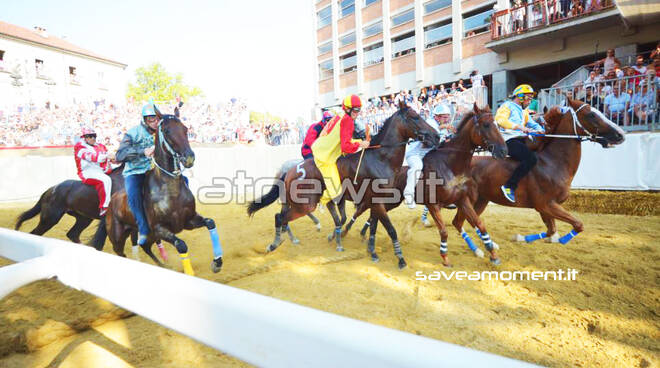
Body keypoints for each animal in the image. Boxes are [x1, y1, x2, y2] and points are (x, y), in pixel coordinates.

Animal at [89, 108, 226, 274]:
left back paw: (164, 265)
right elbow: (181, 245)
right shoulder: (159, 228)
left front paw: (217, 262)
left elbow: (210, 223)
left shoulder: (188, 220)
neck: (169, 190)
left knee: (145, 246)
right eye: (166, 131)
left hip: (145, 235)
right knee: (122, 253)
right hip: (119, 238)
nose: (189, 157)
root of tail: (109, 206)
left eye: (185, 129)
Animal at [248, 100, 444, 268]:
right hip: (306, 204)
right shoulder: (376, 201)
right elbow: (390, 229)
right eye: (415, 116)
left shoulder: (375, 202)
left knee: (282, 216)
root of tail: (289, 171)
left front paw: (372, 251)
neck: (381, 159)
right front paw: (400, 258)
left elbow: (372, 227)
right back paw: (274, 244)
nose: (436, 136)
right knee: (280, 217)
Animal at [342, 105, 508, 266]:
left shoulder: (462, 199)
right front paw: (445, 257)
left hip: (391, 201)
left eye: (496, 124)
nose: (503, 150)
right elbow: (444, 231)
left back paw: (363, 234)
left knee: (373, 214)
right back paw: (347, 233)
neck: (450, 165)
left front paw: (493, 254)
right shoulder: (433, 204)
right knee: (363, 210)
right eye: (486, 125)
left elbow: (479, 224)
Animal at [452, 96, 628, 249]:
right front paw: (559, 240)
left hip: (481, 200)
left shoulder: (546, 208)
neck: (552, 163)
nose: (620, 134)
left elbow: (552, 230)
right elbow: (578, 225)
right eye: (591, 114)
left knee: (466, 222)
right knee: (459, 222)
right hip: (470, 200)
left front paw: (523, 238)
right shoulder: (545, 204)